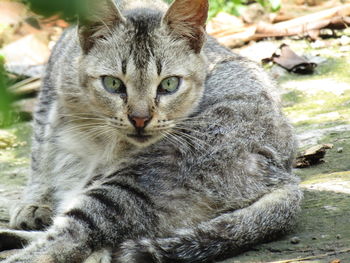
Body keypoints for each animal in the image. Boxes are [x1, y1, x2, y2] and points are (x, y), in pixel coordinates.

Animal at [0, 0, 302, 262]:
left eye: (169, 84)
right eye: (112, 84)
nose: (140, 119)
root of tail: (286, 177)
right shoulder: (51, 91)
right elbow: (40, 151)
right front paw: (35, 202)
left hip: (133, 183)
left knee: (73, 240)